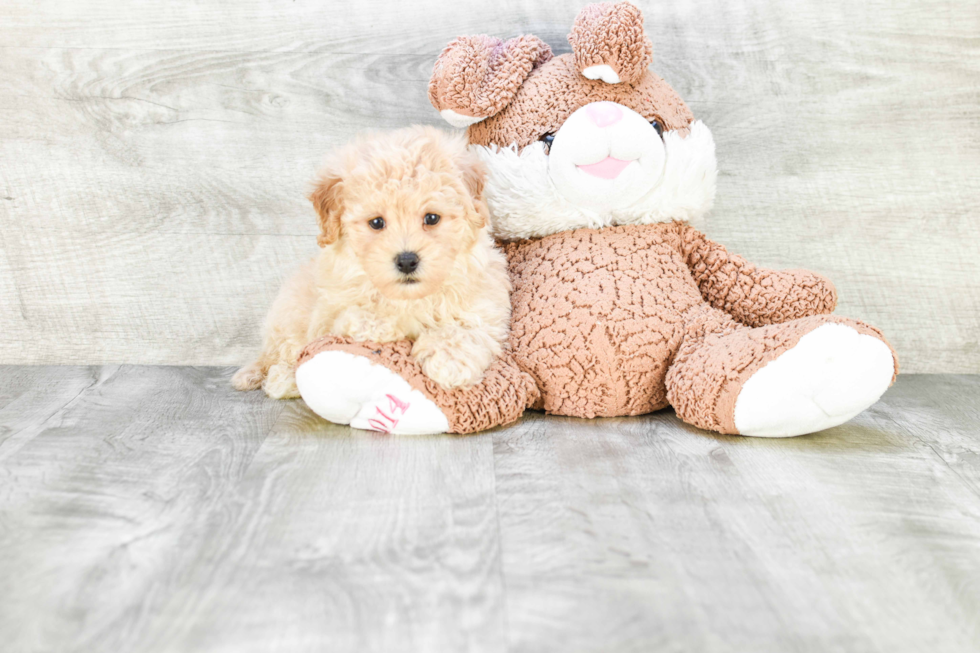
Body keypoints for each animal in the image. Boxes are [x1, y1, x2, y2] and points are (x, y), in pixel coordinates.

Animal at [234, 123, 512, 398]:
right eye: (377, 222)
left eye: (432, 218)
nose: (407, 261)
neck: (410, 297)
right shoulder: (326, 313)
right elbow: (354, 315)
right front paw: (384, 321)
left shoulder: (485, 307)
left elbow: (466, 329)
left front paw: (448, 361)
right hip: (286, 318)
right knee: (278, 355)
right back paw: (275, 378)